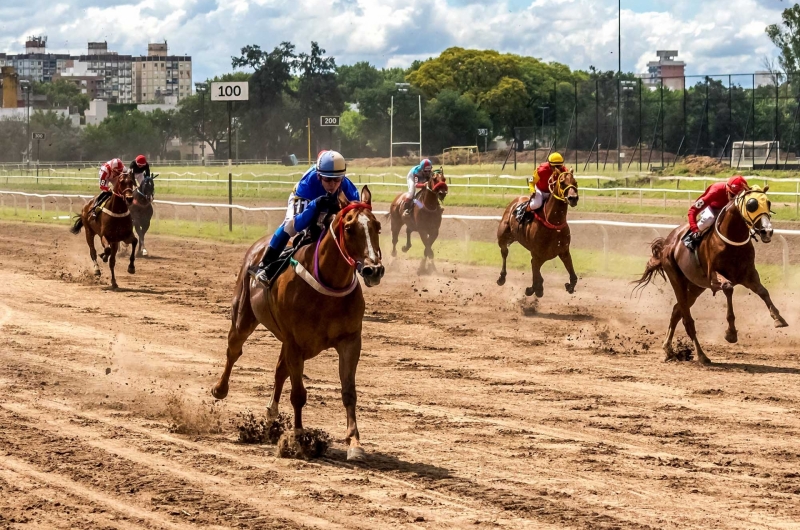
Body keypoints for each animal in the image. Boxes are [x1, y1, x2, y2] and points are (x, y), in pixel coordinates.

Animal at [211, 186, 386, 458]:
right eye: (349, 228)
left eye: (377, 226)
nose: (373, 270)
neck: (327, 285)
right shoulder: (295, 342)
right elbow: (298, 394)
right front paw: (299, 439)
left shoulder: (350, 341)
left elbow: (349, 392)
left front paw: (354, 442)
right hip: (243, 318)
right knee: (234, 350)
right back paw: (220, 389)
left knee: (279, 369)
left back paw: (271, 415)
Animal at [636, 186, 788, 364]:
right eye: (751, 205)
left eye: (769, 203)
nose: (767, 231)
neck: (732, 240)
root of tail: (668, 241)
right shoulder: (715, 275)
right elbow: (728, 288)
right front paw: (731, 333)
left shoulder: (748, 274)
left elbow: (763, 292)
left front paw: (778, 318)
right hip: (676, 278)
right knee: (687, 319)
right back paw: (701, 355)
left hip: (695, 286)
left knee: (676, 311)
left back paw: (668, 349)